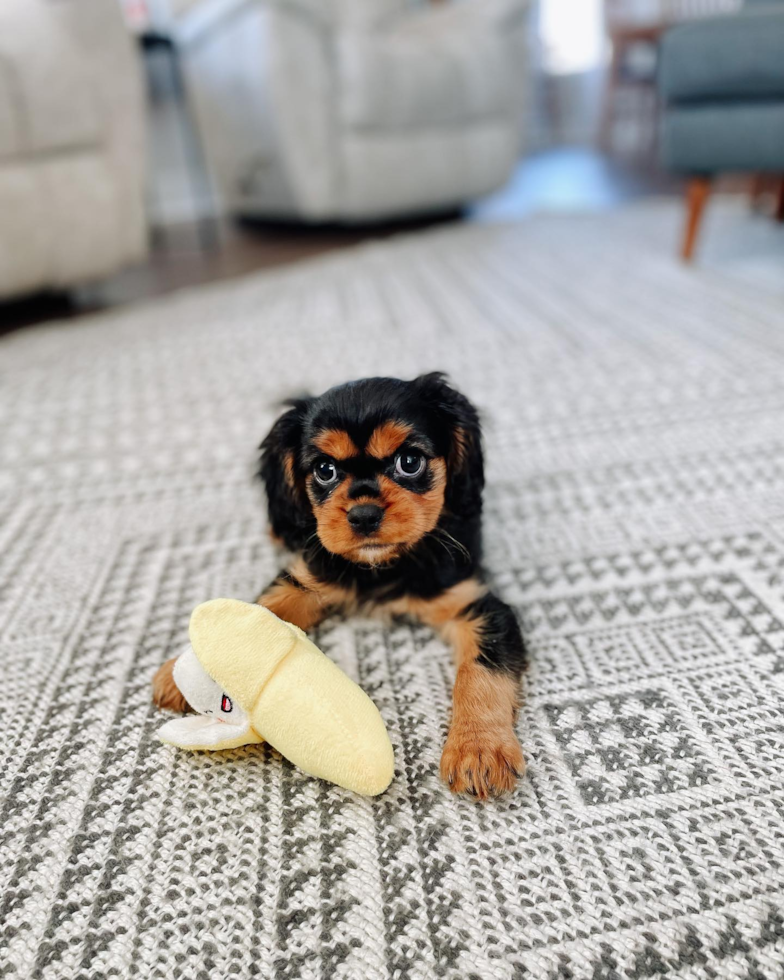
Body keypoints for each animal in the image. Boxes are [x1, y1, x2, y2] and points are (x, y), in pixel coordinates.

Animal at [155, 374, 528, 796]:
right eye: (325, 470)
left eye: (409, 462)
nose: (364, 515)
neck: (382, 567)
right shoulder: (306, 579)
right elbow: (261, 611)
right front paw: (187, 668)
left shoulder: (477, 604)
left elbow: (480, 673)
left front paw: (479, 750)